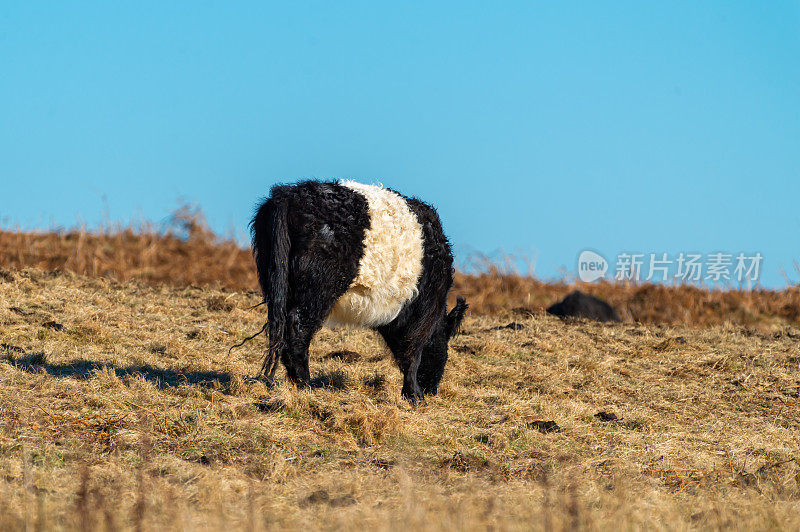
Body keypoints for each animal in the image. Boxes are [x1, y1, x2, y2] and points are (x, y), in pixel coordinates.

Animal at [247, 180, 466, 404]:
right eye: (445, 344)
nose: (432, 389)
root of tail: (289, 194)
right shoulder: (423, 309)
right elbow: (413, 350)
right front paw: (414, 395)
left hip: (277, 285)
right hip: (318, 290)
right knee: (298, 328)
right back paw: (306, 385)